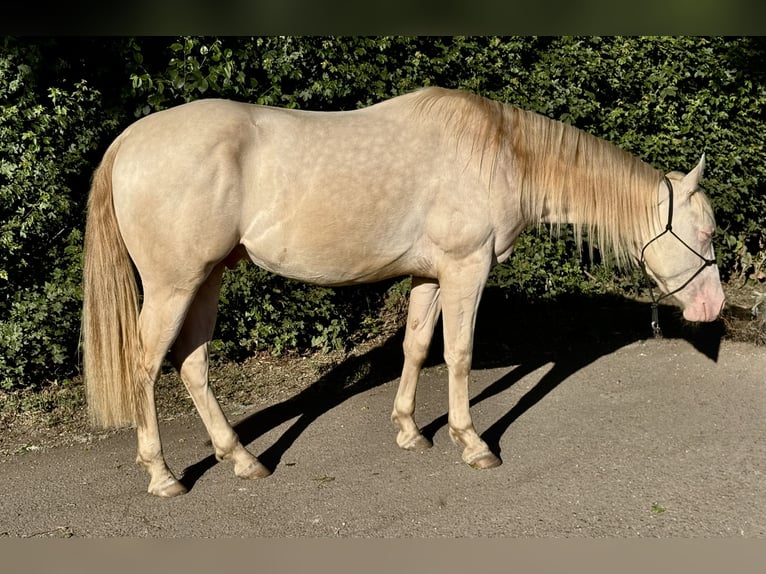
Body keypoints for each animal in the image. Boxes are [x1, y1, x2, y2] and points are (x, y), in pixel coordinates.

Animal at [82, 87, 725, 497]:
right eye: (706, 232)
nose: (713, 307)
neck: (502, 153)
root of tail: (128, 142)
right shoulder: (467, 270)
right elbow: (459, 355)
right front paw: (472, 443)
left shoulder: (430, 276)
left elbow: (416, 348)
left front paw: (411, 432)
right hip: (173, 285)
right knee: (146, 367)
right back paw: (163, 476)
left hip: (207, 278)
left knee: (192, 365)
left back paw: (241, 459)